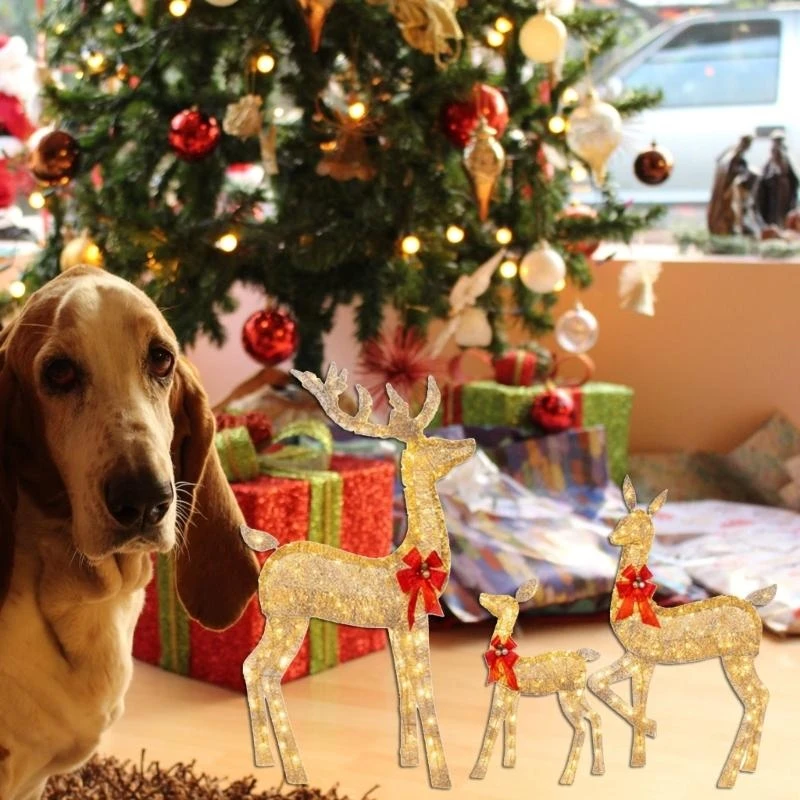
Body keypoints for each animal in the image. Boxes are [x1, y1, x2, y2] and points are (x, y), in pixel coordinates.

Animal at [240, 364, 475, 790]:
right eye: (434, 443)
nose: (469, 441)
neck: (411, 558)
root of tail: (269, 552)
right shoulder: (414, 622)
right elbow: (424, 689)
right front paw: (442, 776)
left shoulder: (398, 627)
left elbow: (405, 685)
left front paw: (408, 759)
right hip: (287, 618)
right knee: (263, 671)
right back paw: (295, 769)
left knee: (252, 668)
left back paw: (265, 759)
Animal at [470, 579, 605, 785]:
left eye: (502, 598)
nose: (482, 595)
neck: (505, 655)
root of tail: (583, 657)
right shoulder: (514, 695)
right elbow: (511, 724)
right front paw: (509, 763)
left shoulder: (502, 693)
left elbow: (492, 728)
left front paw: (478, 772)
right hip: (578, 692)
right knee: (596, 717)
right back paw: (598, 769)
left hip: (568, 695)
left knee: (581, 727)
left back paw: (566, 778)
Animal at [587, 477, 776, 788]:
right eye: (621, 519)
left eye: (641, 525)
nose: (611, 538)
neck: (640, 608)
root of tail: (753, 604)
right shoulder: (637, 658)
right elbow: (602, 684)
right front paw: (639, 757)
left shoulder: (643, 659)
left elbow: (627, 695)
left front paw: (649, 733)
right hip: (744, 660)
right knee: (763, 694)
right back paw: (749, 767)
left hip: (736, 658)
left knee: (753, 699)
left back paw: (727, 777)